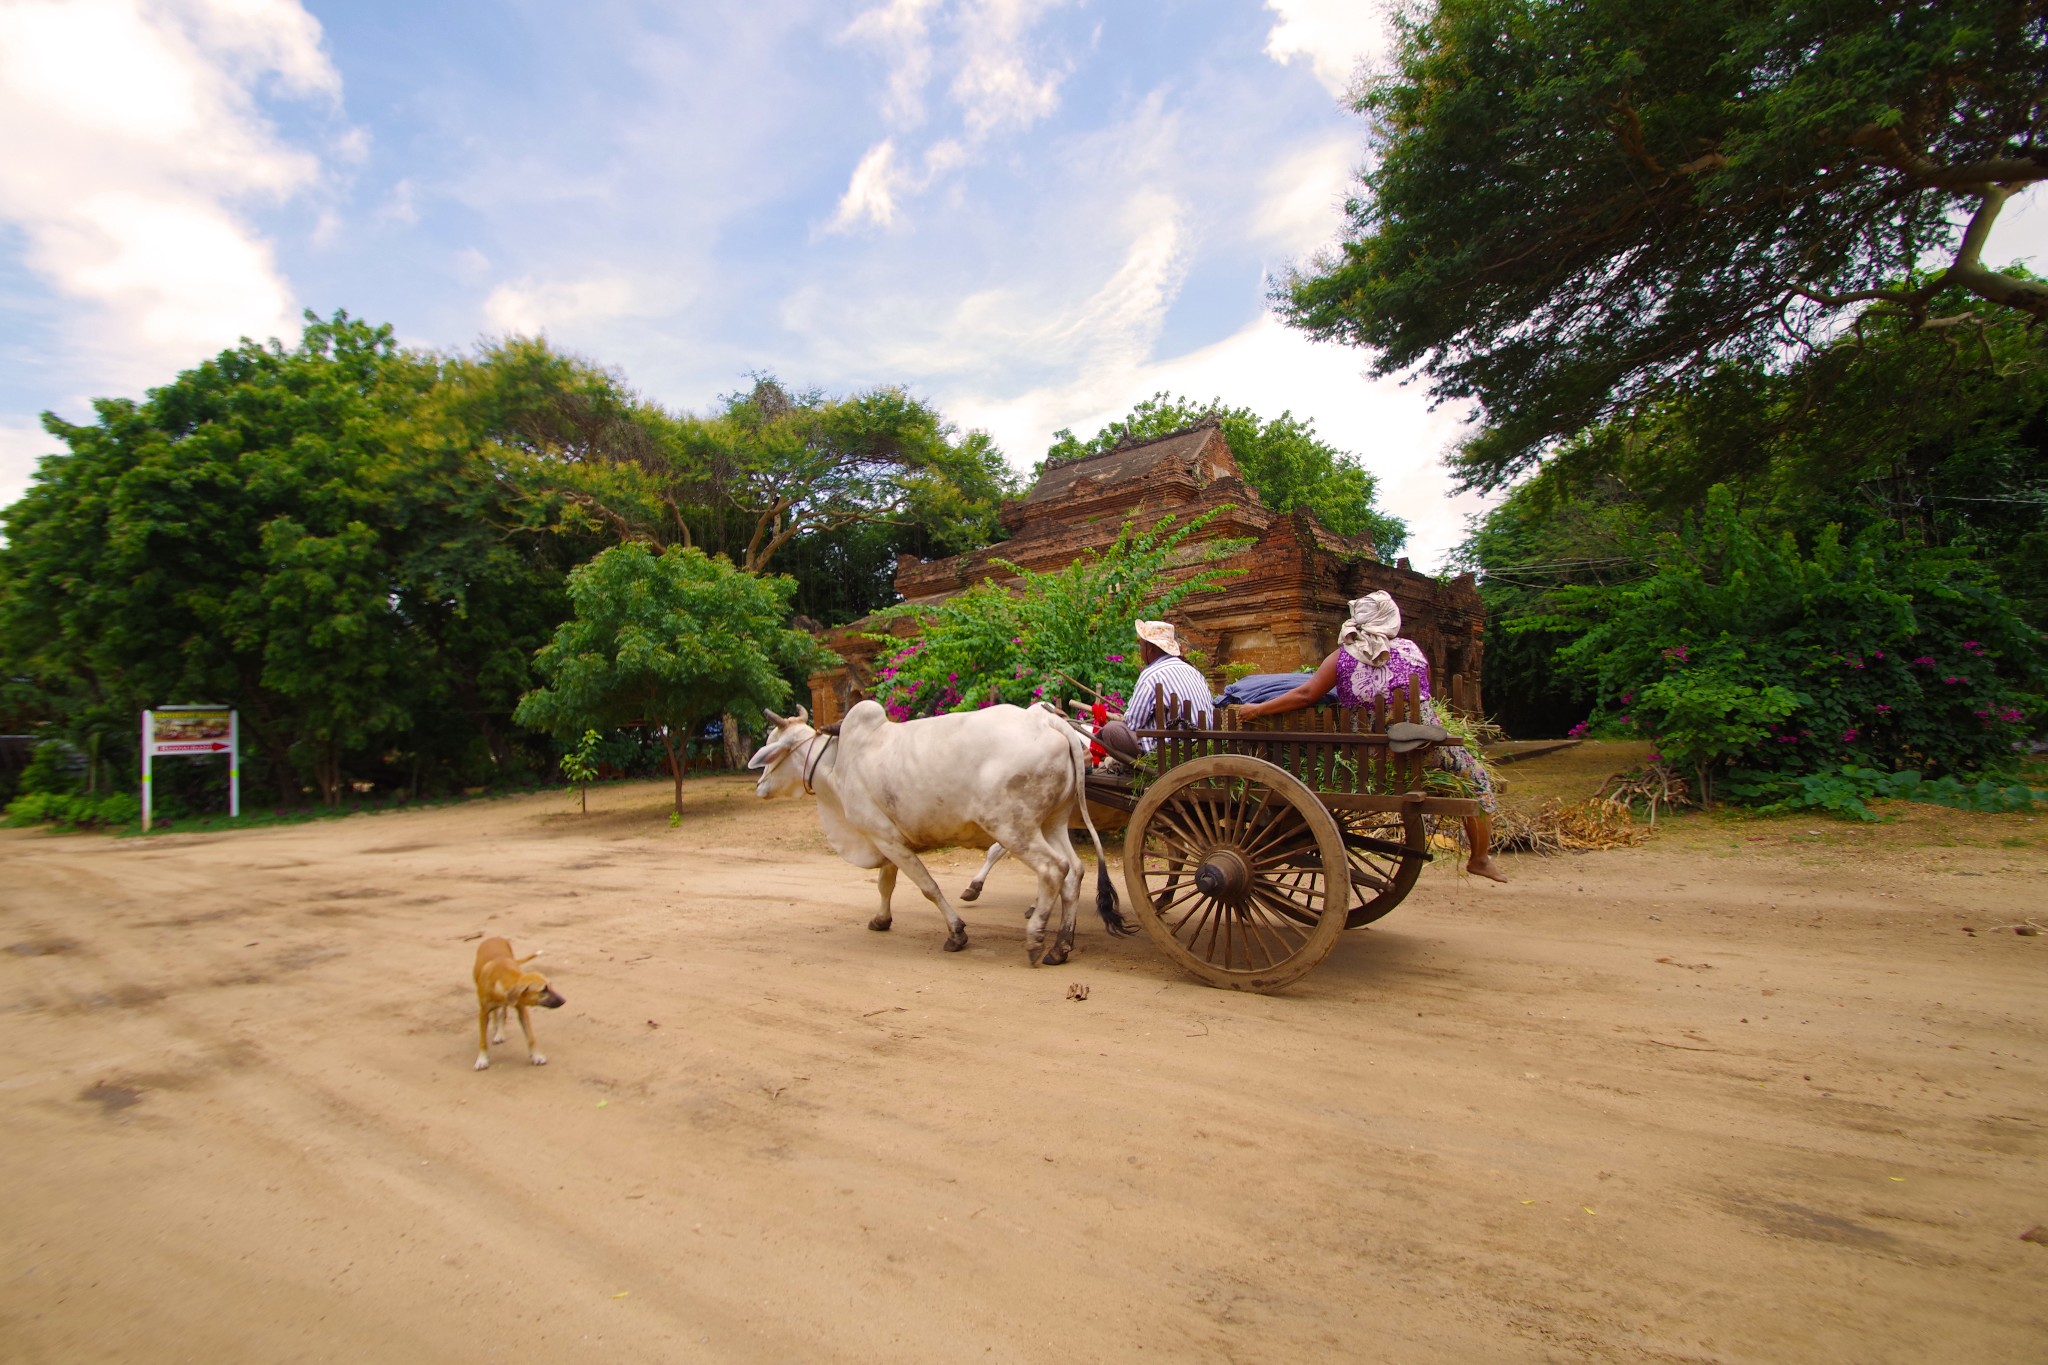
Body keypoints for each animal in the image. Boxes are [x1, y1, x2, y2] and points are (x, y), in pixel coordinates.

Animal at [466, 933, 557, 1072]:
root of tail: (494, 937)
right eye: (543, 989)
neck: (503, 975)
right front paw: (482, 1060)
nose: (563, 1000)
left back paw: (499, 1032)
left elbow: (531, 1037)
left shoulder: (521, 1009)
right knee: (496, 1013)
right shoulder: (483, 1012)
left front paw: (537, 1056)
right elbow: (483, 1040)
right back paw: (496, 1028)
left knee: (503, 1013)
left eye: (550, 986)